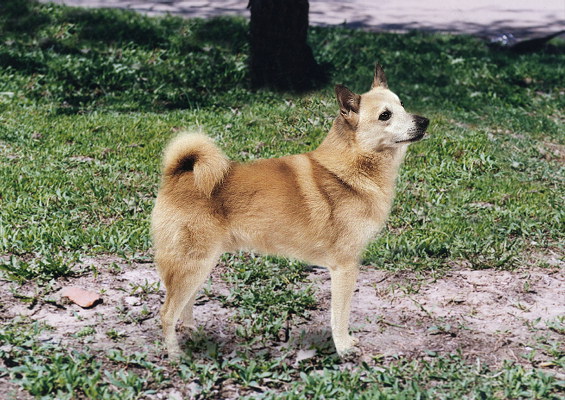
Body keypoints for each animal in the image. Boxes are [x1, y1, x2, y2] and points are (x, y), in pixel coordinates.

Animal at [151, 64, 429, 359]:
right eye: (385, 115)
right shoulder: (344, 267)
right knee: (167, 313)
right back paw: (175, 355)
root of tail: (178, 173)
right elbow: (339, 316)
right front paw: (343, 347)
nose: (424, 121)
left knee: (185, 306)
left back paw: (193, 333)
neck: (351, 166)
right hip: (192, 264)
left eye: (402, 105)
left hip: (201, 265)